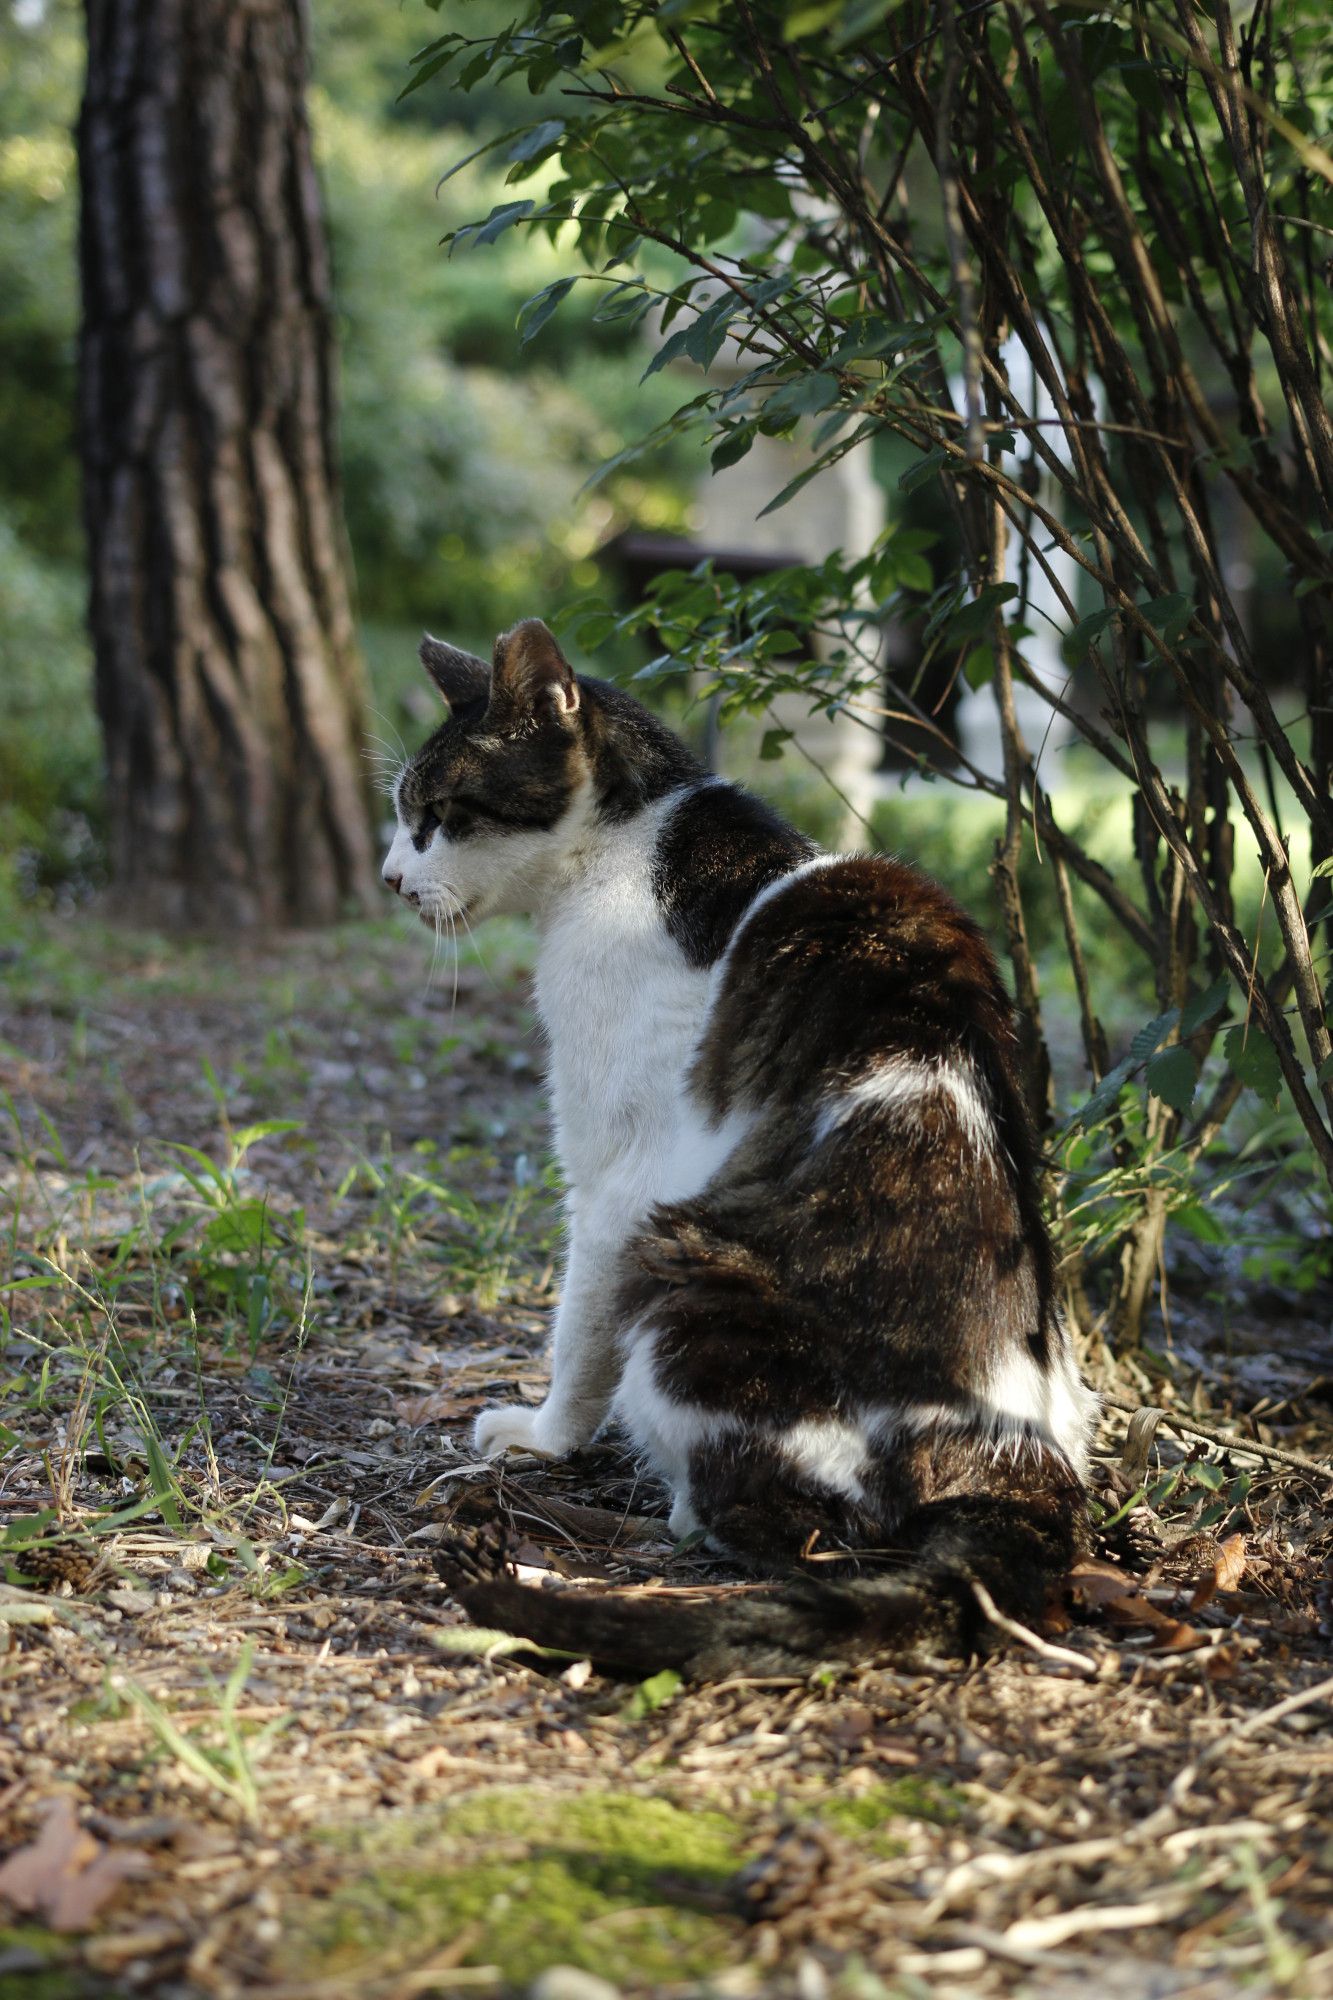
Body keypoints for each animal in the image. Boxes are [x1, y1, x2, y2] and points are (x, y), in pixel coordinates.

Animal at [376, 620, 1088, 1672]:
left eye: (434, 814)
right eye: (402, 812)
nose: (389, 878)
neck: (626, 841)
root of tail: (1012, 1455)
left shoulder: (616, 1182)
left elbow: (576, 1334)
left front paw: (544, 1438)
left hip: (677, 1273)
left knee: (800, 1530)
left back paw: (668, 1514)